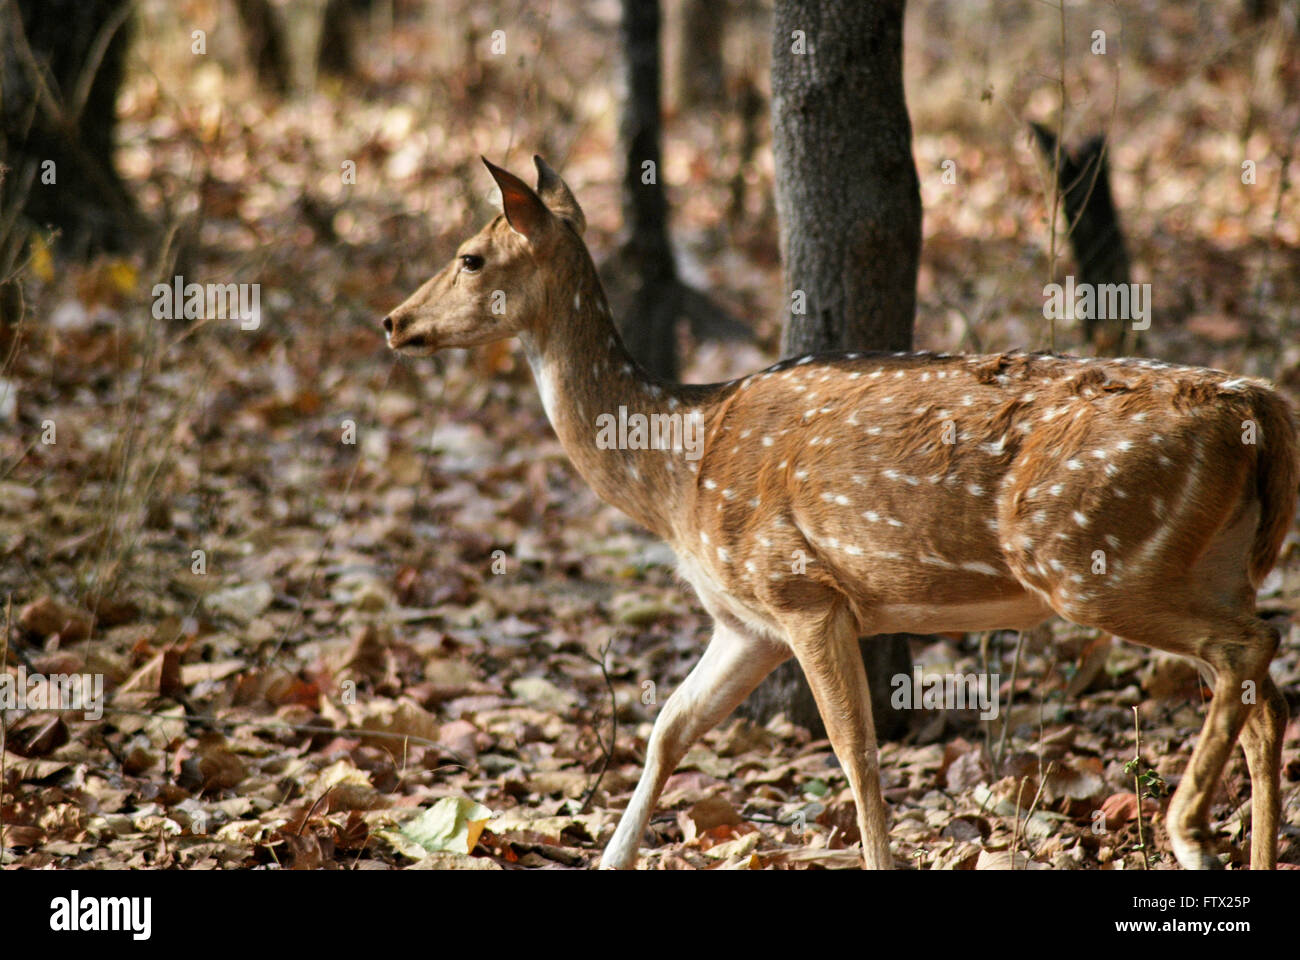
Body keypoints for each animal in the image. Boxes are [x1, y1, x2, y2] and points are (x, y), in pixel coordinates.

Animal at [379, 155, 1294, 868]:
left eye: (469, 257)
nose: (391, 320)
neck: (675, 470)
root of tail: (1254, 406)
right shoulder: (744, 619)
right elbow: (669, 727)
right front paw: (610, 857)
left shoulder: (800, 588)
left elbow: (856, 754)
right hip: (1213, 559)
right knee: (1263, 695)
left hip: (1092, 555)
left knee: (1249, 648)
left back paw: (1185, 830)